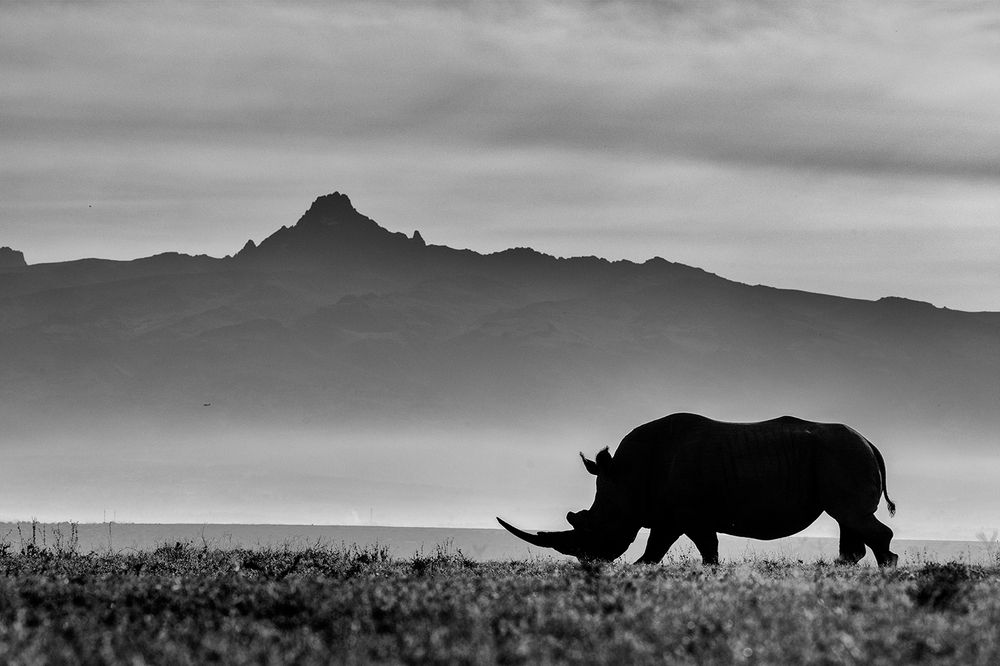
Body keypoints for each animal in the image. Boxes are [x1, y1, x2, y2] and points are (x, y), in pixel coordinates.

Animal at [498, 413, 898, 566]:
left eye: (592, 524)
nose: (588, 561)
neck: (625, 476)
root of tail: (870, 443)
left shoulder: (682, 515)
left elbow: (664, 550)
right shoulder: (678, 515)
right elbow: (695, 550)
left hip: (843, 456)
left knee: (853, 516)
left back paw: (884, 573)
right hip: (841, 457)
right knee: (849, 520)